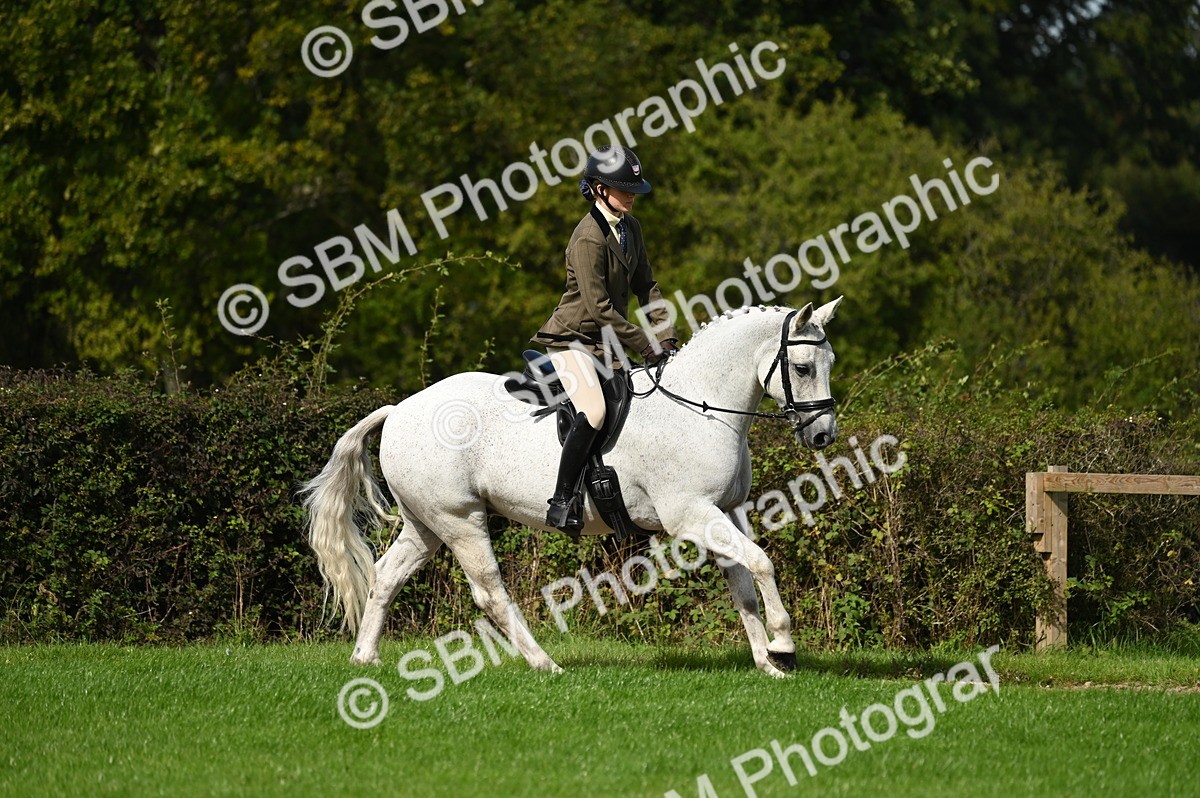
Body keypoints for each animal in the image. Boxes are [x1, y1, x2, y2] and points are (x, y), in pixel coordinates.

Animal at [302, 297, 842, 678]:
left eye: (830, 362)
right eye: (801, 368)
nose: (822, 435)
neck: (700, 405)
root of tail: (400, 409)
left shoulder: (724, 512)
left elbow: (743, 584)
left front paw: (767, 663)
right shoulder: (690, 514)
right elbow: (762, 563)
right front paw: (784, 645)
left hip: (426, 523)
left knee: (386, 575)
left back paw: (366, 658)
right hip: (459, 520)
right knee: (489, 592)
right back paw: (545, 663)